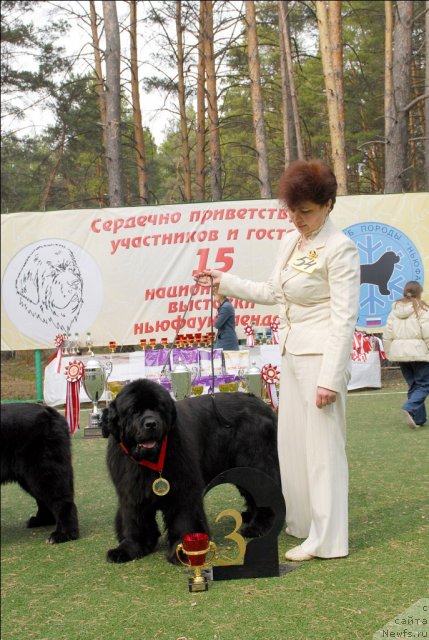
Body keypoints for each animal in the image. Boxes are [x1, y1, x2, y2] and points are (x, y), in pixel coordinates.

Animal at [0, 402, 79, 544]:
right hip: (30, 476)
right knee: (43, 500)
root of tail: (51, 411)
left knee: (61, 500)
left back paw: (64, 534)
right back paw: (41, 521)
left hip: (43, 470)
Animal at [101, 380, 280, 564]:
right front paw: (130, 548)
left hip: (256, 462)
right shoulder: (131, 491)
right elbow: (134, 520)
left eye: (159, 409)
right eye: (134, 410)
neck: (150, 461)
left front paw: (185, 550)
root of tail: (263, 405)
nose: (151, 423)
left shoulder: (184, 487)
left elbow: (184, 519)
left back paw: (259, 527)